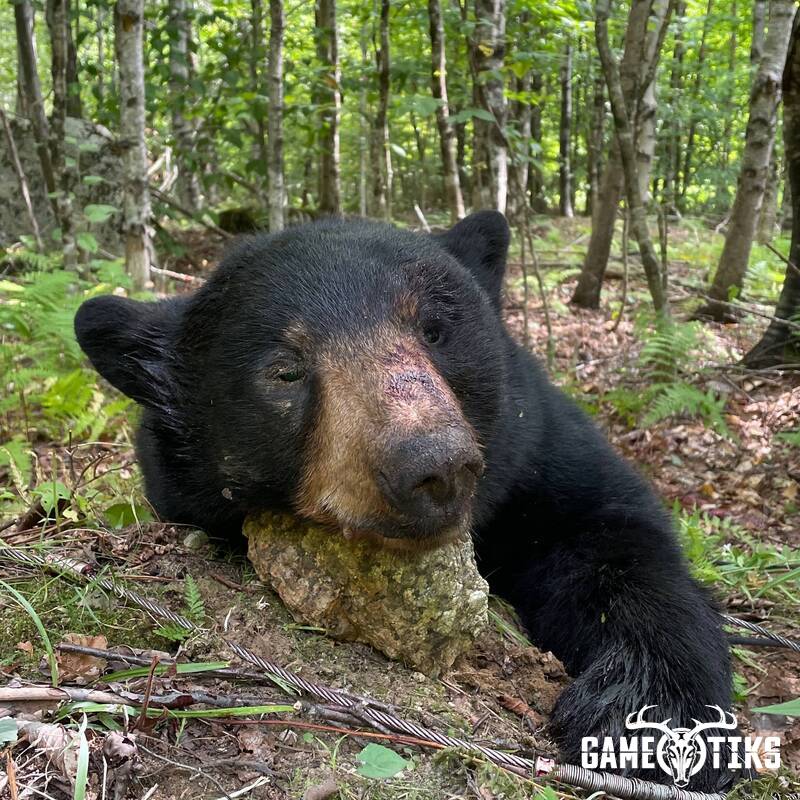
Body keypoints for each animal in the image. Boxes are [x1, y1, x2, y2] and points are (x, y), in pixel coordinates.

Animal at [75, 212, 741, 790]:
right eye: (285, 370)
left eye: (435, 330)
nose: (436, 466)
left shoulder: (537, 445)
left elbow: (613, 531)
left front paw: (657, 709)